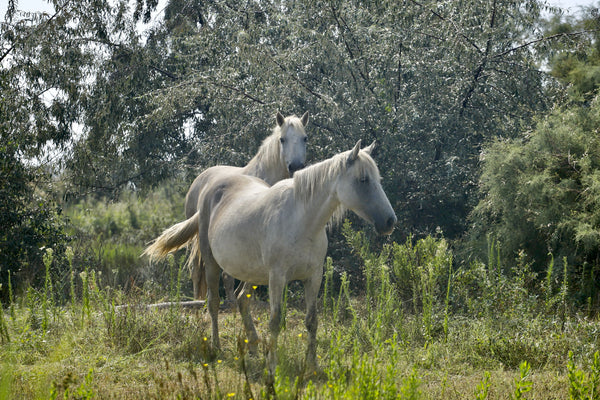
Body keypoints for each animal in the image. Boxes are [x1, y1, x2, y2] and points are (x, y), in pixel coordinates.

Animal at [144, 140, 398, 378]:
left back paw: (254, 347)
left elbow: (312, 320)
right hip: (212, 263)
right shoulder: (278, 277)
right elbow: (275, 321)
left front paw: (313, 365)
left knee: (242, 300)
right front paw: (273, 367)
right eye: (363, 180)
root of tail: (209, 189)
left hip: (251, 273)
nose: (389, 221)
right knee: (213, 302)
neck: (301, 221)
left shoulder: (313, 277)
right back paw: (217, 347)